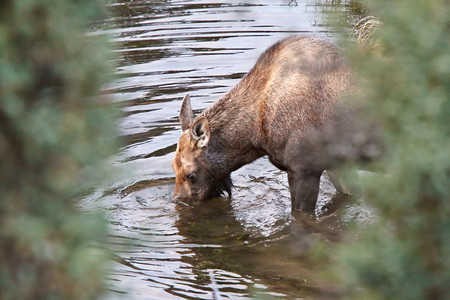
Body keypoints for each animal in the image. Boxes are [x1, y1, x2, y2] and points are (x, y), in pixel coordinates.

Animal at [171, 35, 378, 211]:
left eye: (191, 175)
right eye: (173, 167)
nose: (179, 202)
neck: (256, 134)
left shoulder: (304, 169)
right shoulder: (336, 164)